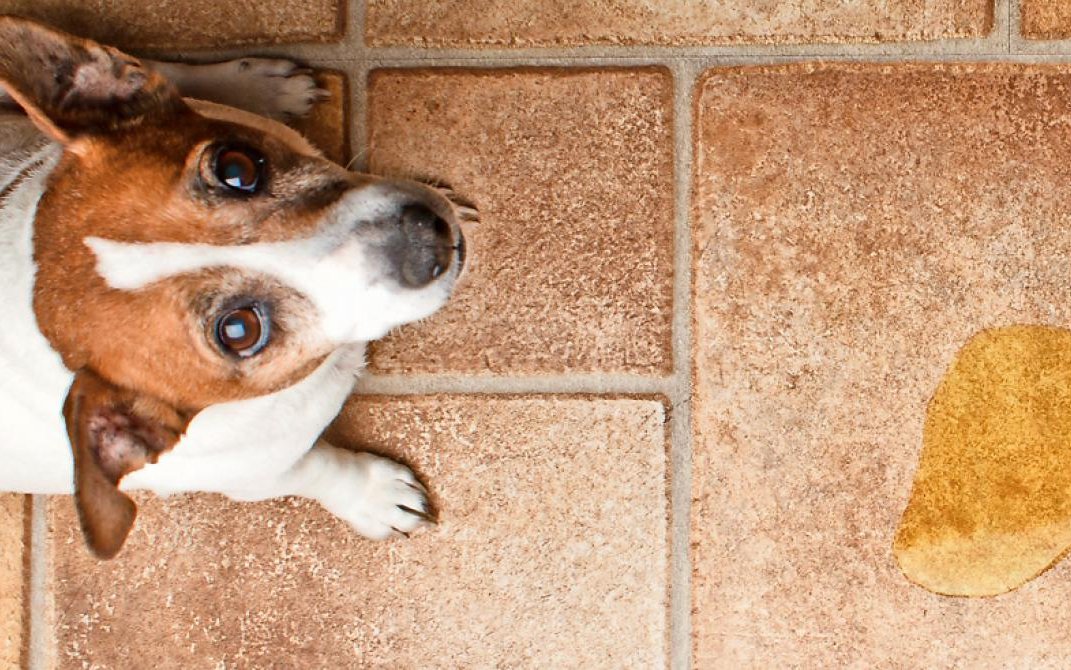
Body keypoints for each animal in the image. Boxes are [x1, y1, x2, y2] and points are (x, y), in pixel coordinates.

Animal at [0, 16, 473, 556]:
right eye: (239, 331)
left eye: (236, 167)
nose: (427, 236)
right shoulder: (258, 475)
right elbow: (319, 468)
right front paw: (373, 496)